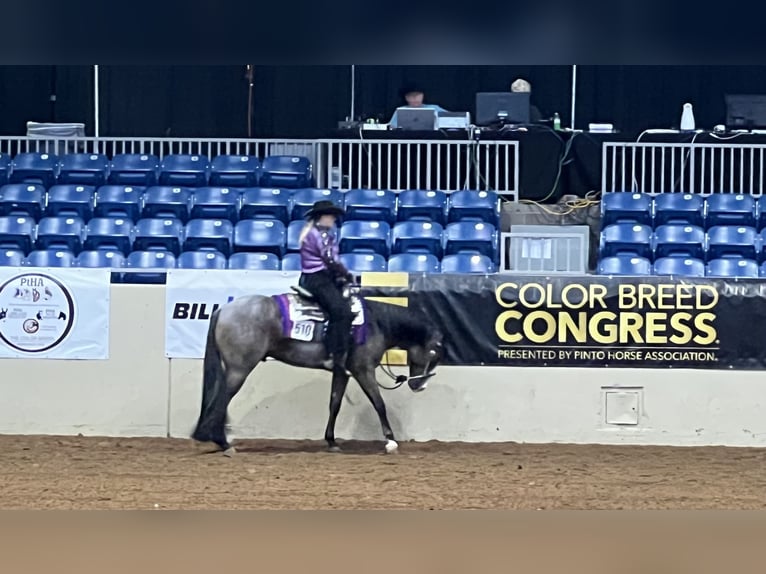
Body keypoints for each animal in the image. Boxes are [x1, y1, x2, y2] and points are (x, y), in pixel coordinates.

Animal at [191, 285, 445, 455]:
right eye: (433, 352)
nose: (418, 385)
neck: (375, 323)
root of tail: (224, 310)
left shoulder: (342, 372)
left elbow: (335, 404)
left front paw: (332, 442)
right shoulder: (363, 370)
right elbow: (378, 403)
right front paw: (391, 442)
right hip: (239, 368)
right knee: (222, 398)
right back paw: (223, 443)